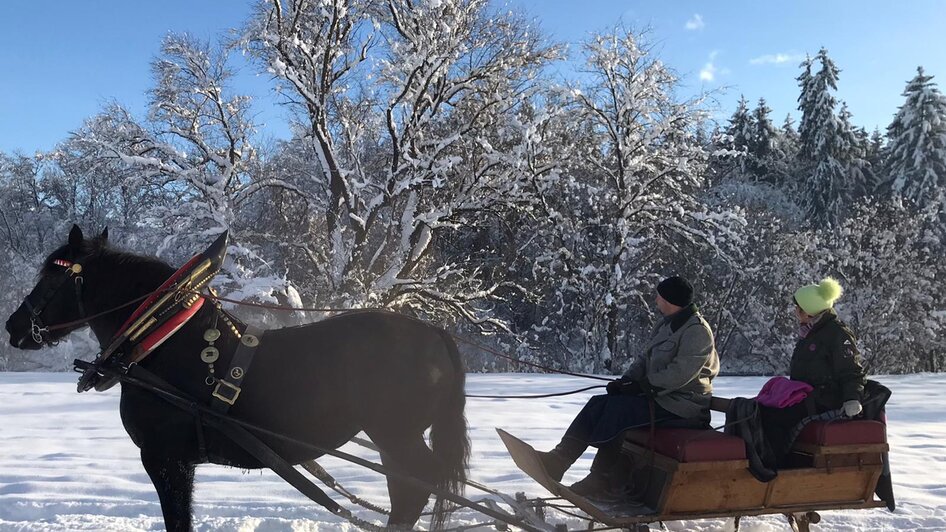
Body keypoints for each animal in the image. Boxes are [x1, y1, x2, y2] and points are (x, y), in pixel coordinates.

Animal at [3, 225, 468, 532]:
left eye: (51, 275)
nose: (13, 326)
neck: (160, 340)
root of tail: (435, 332)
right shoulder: (175, 461)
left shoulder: (165, 458)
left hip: (396, 436)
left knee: (415, 486)